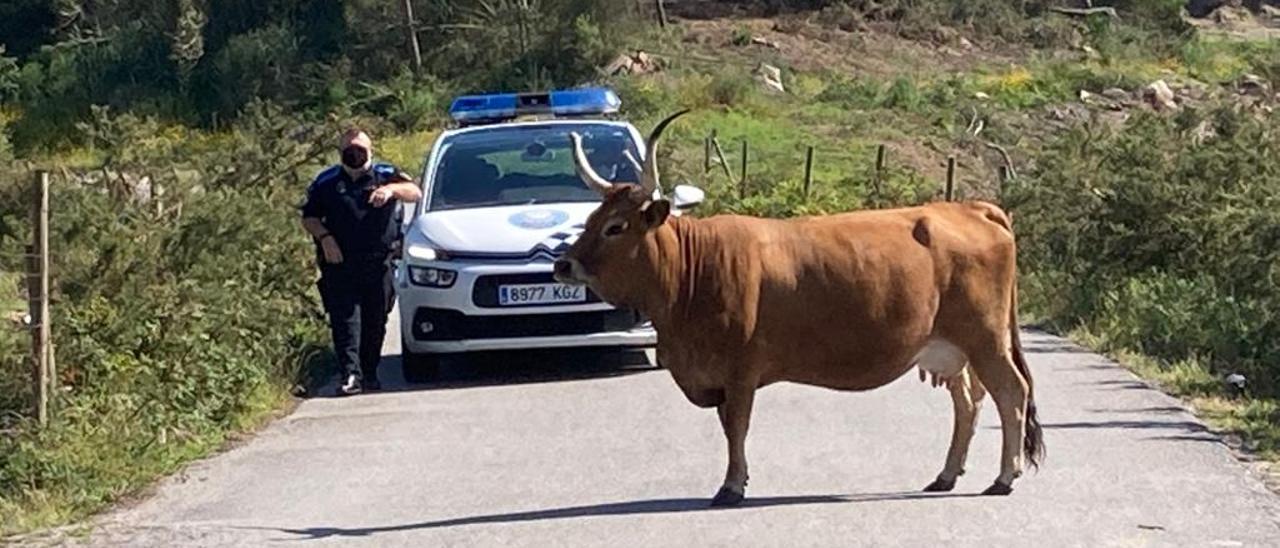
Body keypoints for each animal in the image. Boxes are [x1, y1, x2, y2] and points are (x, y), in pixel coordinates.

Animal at [550, 112, 1039, 509]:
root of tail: (974, 207)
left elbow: (736, 427)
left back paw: (1004, 477)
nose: (562, 263)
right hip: (952, 350)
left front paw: (731, 486)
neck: (695, 269)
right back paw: (946, 475)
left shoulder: (740, 371)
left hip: (985, 340)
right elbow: (730, 427)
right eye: (592, 219)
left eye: (616, 227)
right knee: (969, 403)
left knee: (1011, 393)